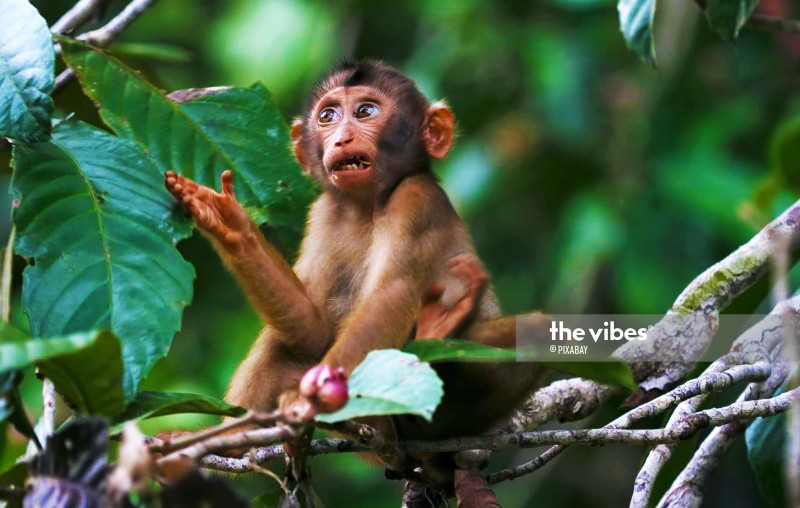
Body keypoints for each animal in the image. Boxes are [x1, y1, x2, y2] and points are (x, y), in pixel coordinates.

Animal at [164, 60, 547, 483]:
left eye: (366, 111)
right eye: (327, 116)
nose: (342, 139)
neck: (366, 207)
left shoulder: (417, 200)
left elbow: (390, 297)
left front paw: (308, 401)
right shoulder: (323, 213)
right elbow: (311, 330)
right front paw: (231, 225)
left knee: (534, 332)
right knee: (280, 343)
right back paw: (232, 441)